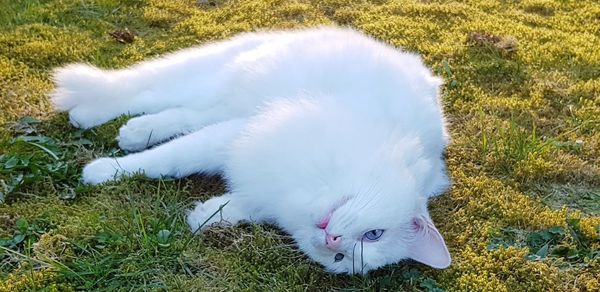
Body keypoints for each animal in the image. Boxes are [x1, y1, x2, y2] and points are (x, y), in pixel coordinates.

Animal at [52, 26, 450, 274]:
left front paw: (204, 217)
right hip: (222, 83)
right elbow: (165, 160)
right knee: (148, 93)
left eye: (340, 258)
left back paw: (130, 130)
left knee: (183, 112)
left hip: (223, 101)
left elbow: (234, 203)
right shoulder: (238, 135)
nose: (331, 239)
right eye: (375, 234)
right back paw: (92, 117)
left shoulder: (258, 178)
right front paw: (105, 172)